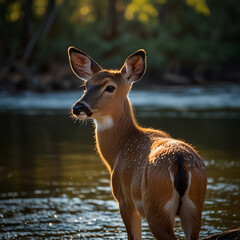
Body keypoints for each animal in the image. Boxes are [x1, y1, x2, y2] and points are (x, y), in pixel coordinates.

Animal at [67, 47, 206, 240]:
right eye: (86, 86)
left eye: (110, 87)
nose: (78, 108)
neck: (118, 150)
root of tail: (180, 163)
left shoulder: (124, 199)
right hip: (194, 206)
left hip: (156, 206)